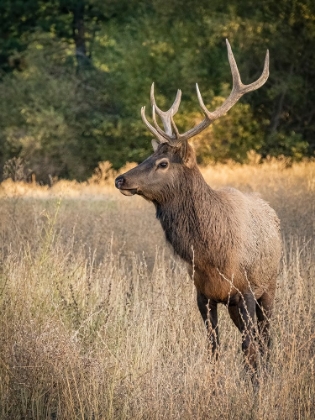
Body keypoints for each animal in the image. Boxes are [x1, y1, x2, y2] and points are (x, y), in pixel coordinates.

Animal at [115, 41, 282, 372]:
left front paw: (253, 383)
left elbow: (249, 348)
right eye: (148, 156)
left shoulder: (246, 289)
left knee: (265, 339)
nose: (120, 178)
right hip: (234, 303)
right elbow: (213, 347)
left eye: (163, 163)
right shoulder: (203, 294)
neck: (210, 253)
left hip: (269, 286)